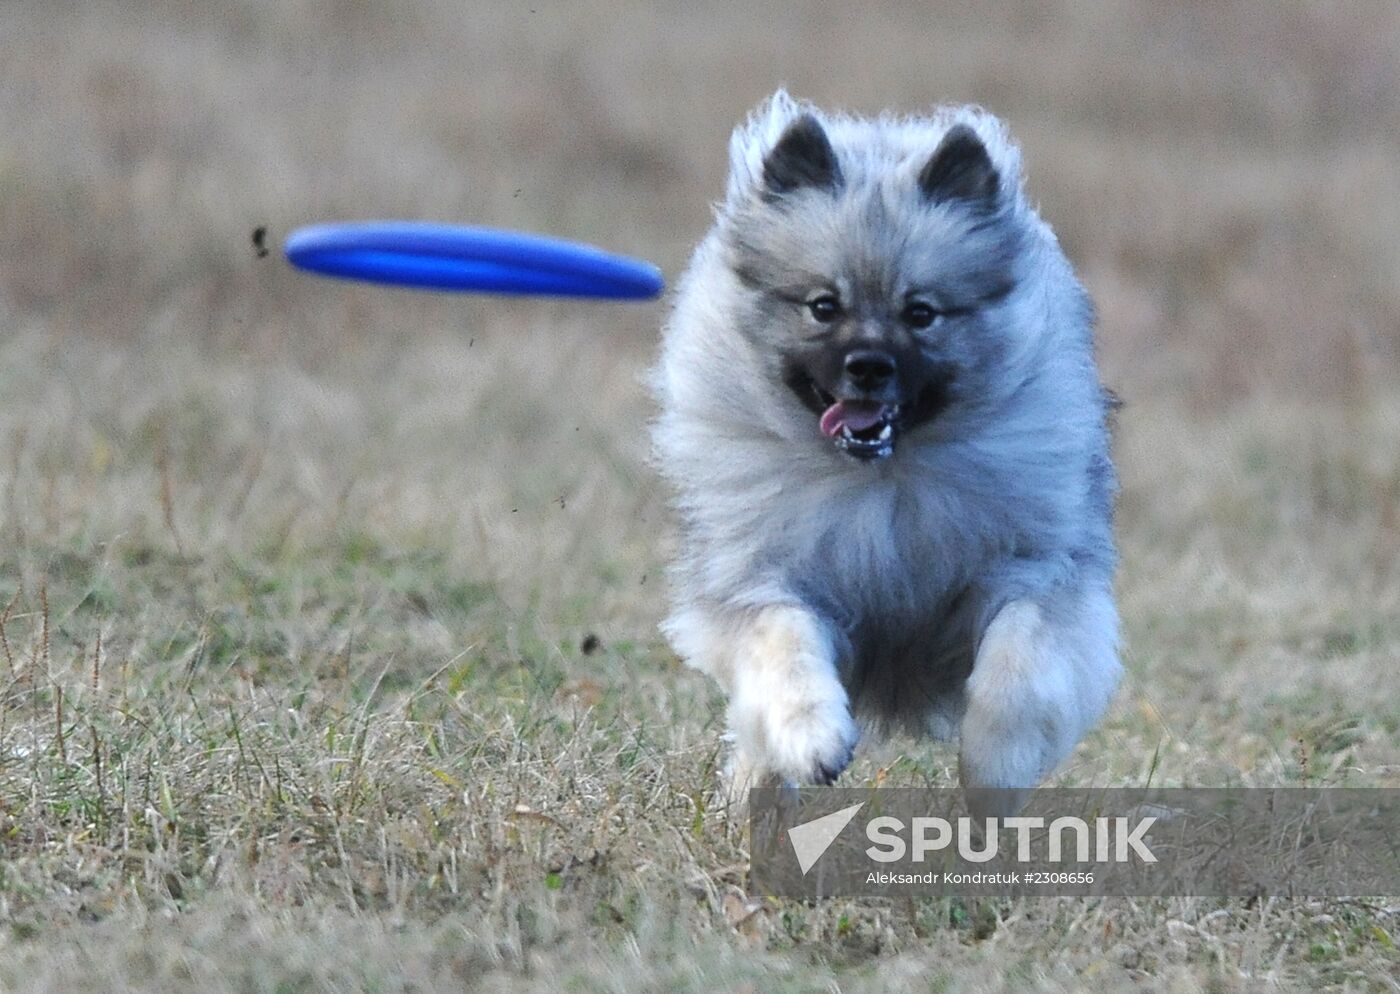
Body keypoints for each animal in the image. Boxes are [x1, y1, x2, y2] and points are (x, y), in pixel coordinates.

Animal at [649, 91, 1120, 817]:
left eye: (920, 312)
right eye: (823, 305)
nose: (868, 365)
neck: (881, 482)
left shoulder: (1038, 574)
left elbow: (1016, 665)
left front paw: (995, 769)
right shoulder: (764, 579)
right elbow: (786, 648)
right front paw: (814, 738)